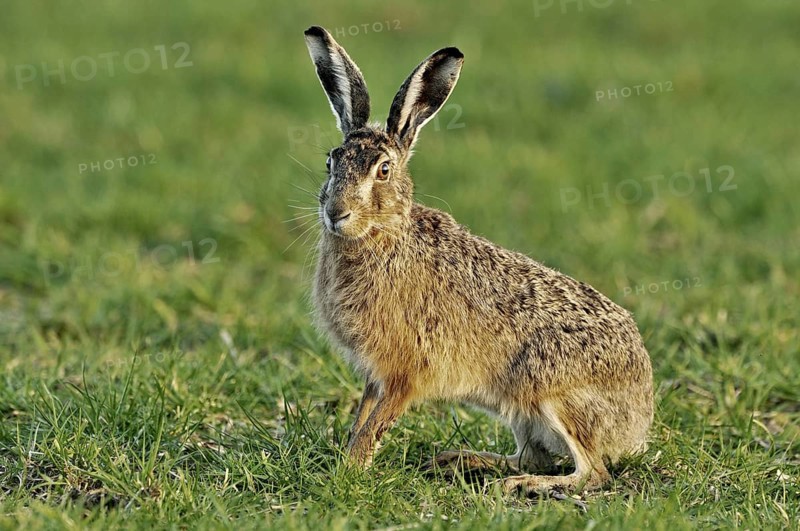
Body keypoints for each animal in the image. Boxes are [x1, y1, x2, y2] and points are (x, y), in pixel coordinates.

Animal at [303, 25, 653, 495]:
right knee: (536, 455)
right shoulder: (375, 373)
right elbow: (362, 418)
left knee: (591, 472)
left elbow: (374, 425)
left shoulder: (405, 371)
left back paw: (517, 484)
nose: (335, 212)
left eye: (384, 170)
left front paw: (349, 471)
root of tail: (640, 419)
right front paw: (347, 462)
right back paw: (458, 460)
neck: (384, 236)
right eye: (331, 162)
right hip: (524, 413)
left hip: (553, 393)